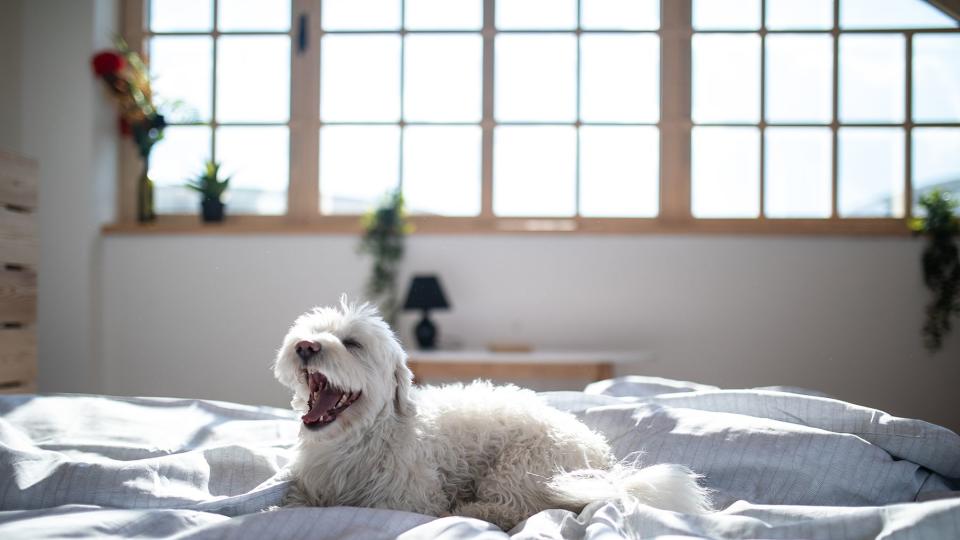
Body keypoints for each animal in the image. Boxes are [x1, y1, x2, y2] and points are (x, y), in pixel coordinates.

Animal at [274, 298, 708, 528]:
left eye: (352, 343)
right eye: (310, 332)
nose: (305, 346)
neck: (357, 440)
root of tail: (605, 462)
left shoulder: (409, 501)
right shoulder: (308, 489)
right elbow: (293, 503)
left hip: (519, 467)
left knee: (522, 509)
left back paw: (474, 510)